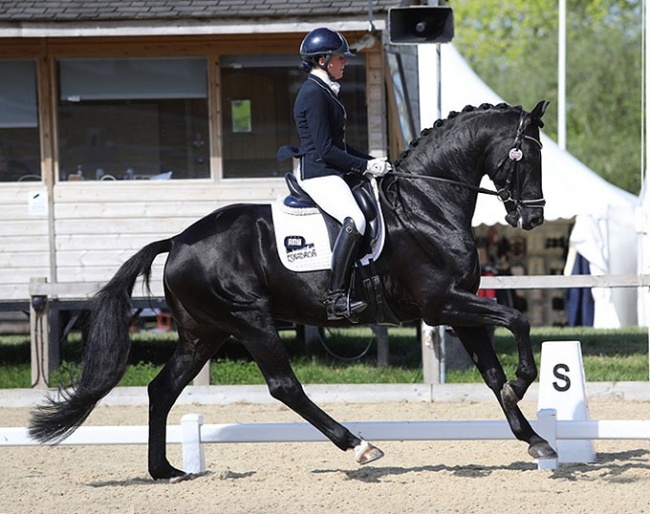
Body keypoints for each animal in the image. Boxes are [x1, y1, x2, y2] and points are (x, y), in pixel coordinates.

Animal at [30, 101, 556, 480]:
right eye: (526, 155)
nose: (532, 218)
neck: (426, 203)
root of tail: (178, 241)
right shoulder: (442, 303)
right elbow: (518, 321)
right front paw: (523, 384)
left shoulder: (459, 308)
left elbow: (491, 373)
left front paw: (534, 438)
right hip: (250, 321)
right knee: (284, 386)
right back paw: (359, 445)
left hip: (203, 333)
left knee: (162, 389)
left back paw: (164, 471)